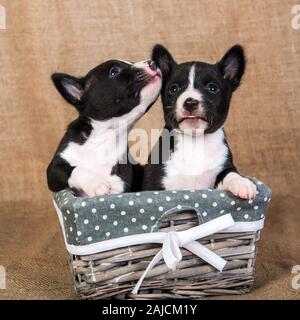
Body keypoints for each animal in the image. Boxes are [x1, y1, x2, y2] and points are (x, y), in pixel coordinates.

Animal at [47, 58, 162, 196]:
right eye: (114, 71)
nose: (153, 63)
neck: (106, 136)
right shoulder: (54, 169)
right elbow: (74, 170)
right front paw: (95, 184)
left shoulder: (120, 185)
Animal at [142, 43, 255, 199]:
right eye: (174, 89)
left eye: (212, 88)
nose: (190, 102)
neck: (194, 141)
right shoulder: (155, 180)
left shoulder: (223, 167)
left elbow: (230, 173)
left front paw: (242, 183)